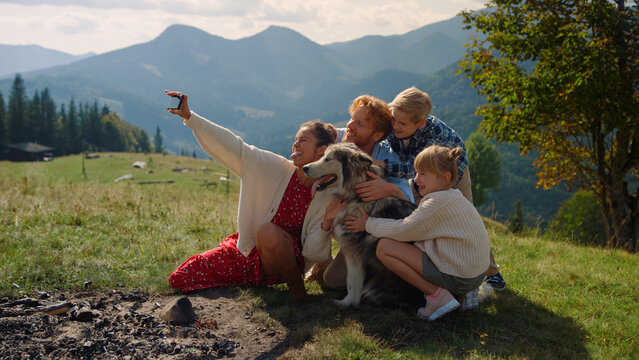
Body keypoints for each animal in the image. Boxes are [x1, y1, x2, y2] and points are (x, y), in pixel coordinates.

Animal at [304, 142, 422, 308]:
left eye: (328, 159)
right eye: (323, 156)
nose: (304, 167)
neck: (356, 198)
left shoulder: (353, 250)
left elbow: (352, 282)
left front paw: (348, 302)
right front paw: (349, 301)